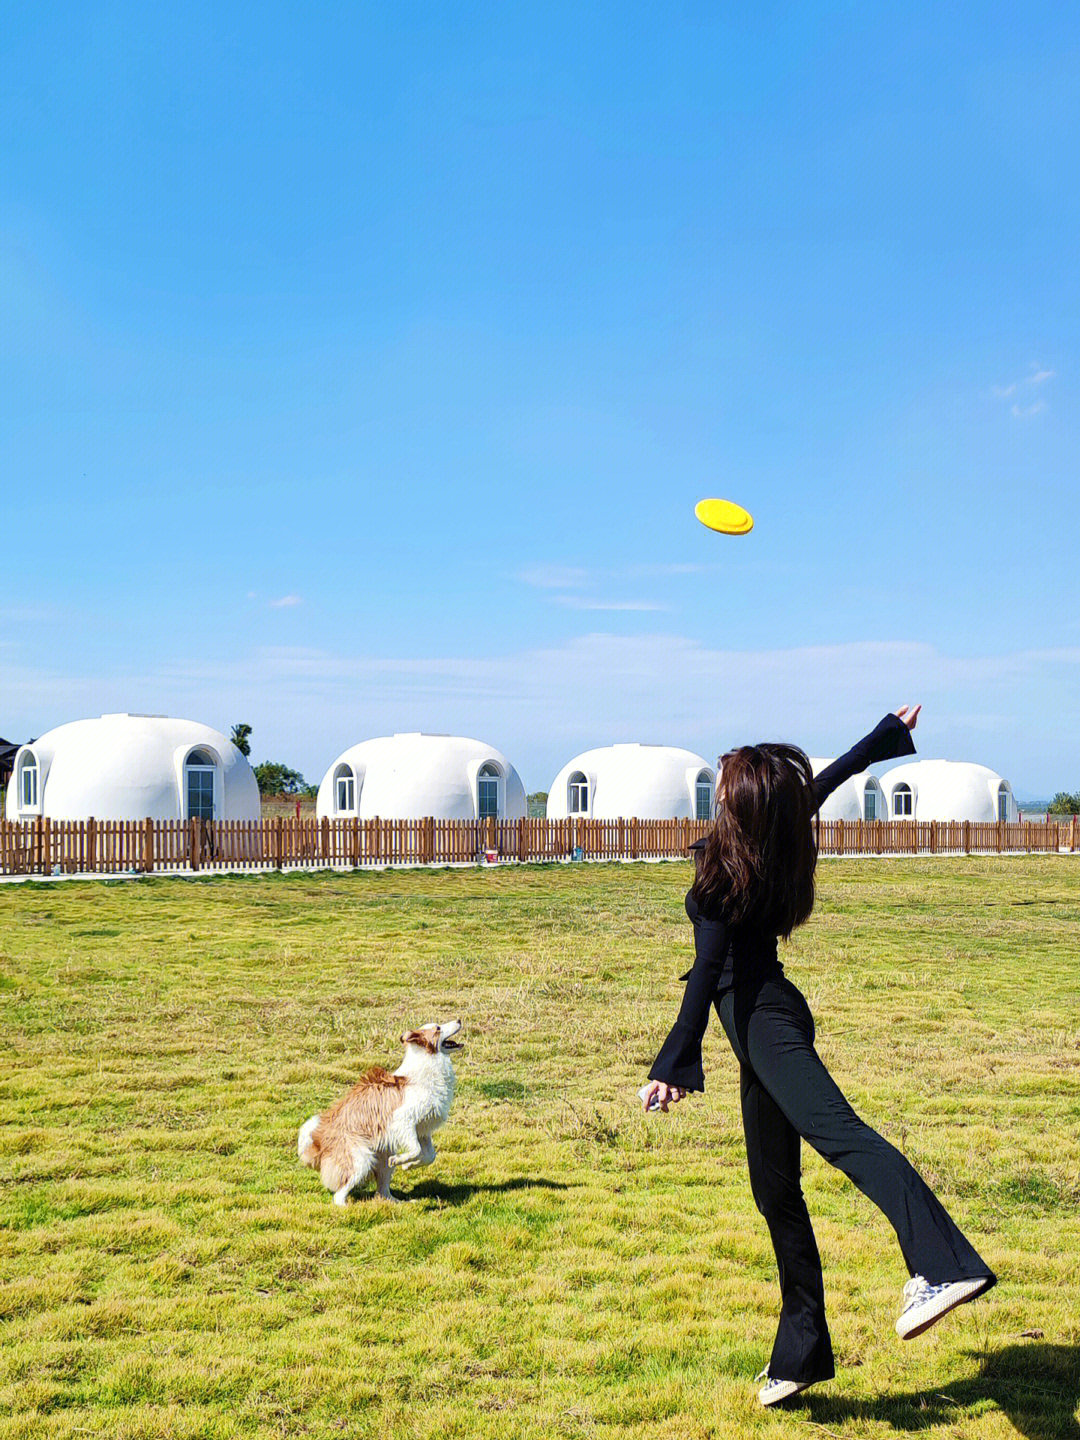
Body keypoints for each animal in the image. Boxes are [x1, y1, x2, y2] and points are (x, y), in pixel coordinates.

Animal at [298, 1019, 463, 1209]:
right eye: (438, 1028)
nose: (459, 1020)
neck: (428, 1064)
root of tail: (318, 1141)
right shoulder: (403, 1120)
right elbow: (415, 1149)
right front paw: (401, 1160)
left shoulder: (422, 1128)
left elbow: (429, 1156)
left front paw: (409, 1166)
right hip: (361, 1159)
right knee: (339, 1195)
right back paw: (349, 1208)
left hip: (383, 1155)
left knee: (382, 1191)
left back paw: (399, 1202)